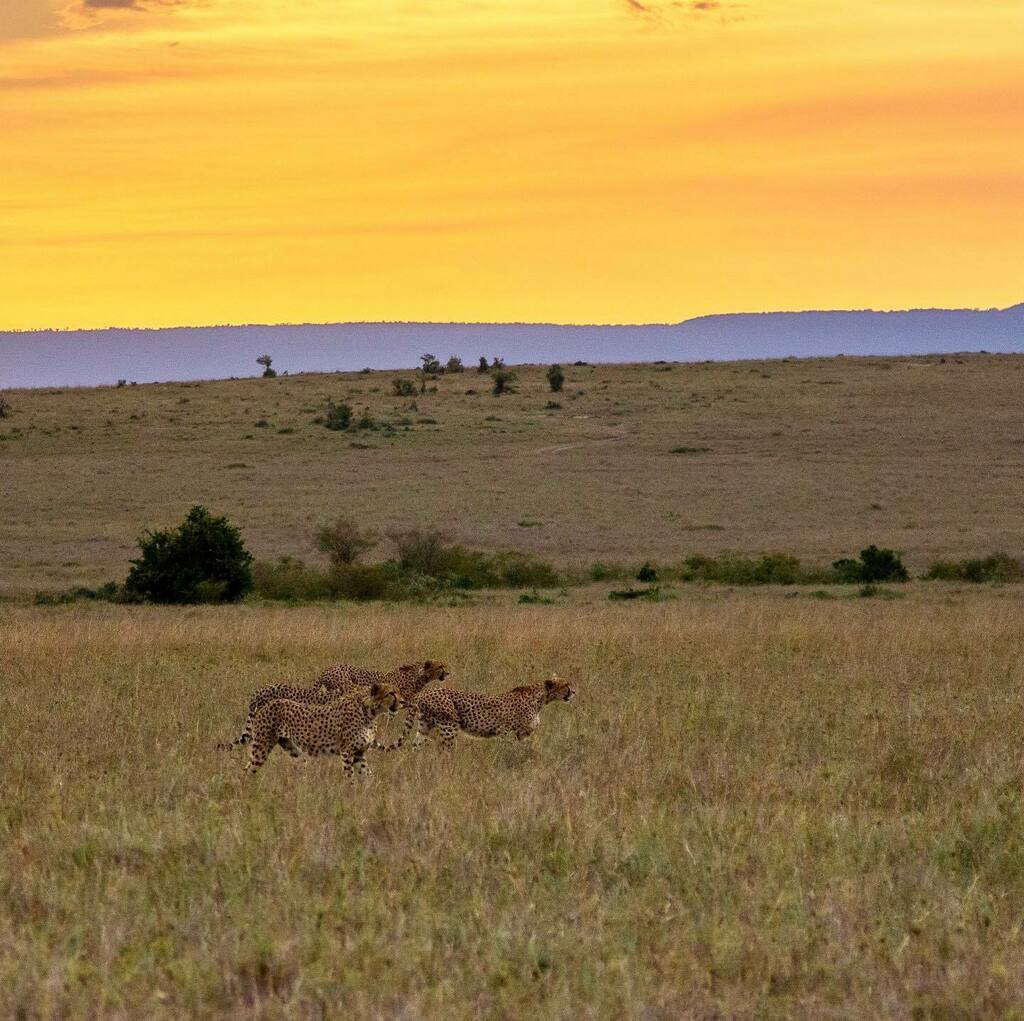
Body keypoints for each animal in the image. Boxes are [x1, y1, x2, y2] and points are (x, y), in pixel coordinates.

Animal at [245, 682, 400, 775]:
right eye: (391, 693)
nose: (403, 701)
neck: (369, 712)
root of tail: (266, 704)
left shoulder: (359, 752)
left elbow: (367, 775)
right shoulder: (347, 751)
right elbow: (350, 777)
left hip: (293, 750)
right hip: (262, 747)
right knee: (248, 770)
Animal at [384, 675, 576, 751]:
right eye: (566, 685)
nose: (574, 692)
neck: (542, 698)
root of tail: (425, 692)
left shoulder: (522, 733)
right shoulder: (506, 731)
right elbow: (509, 749)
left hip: (424, 725)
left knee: (416, 745)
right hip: (449, 726)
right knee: (445, 750)